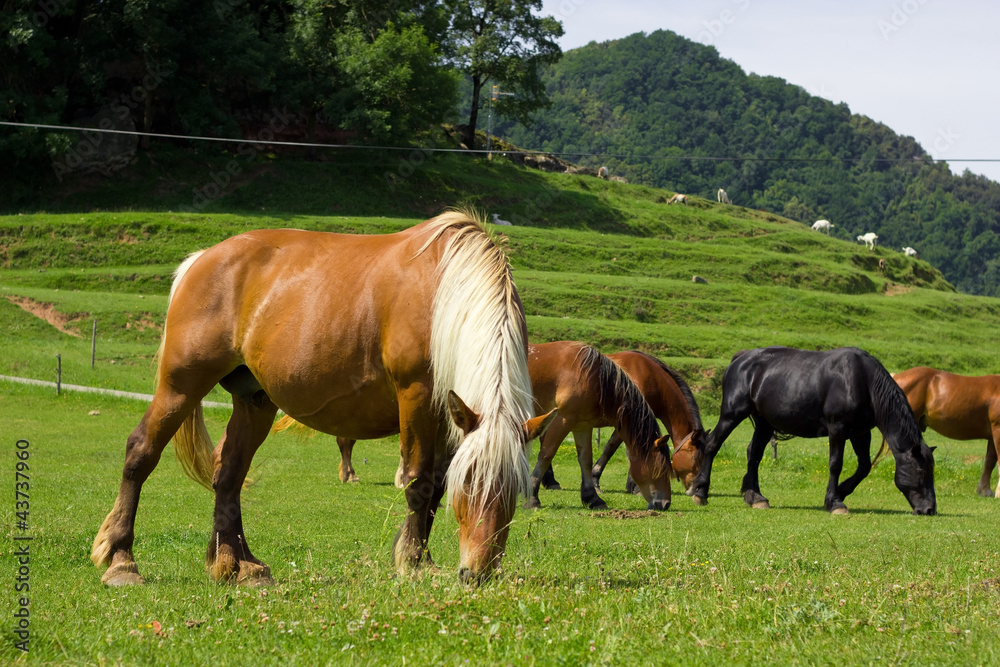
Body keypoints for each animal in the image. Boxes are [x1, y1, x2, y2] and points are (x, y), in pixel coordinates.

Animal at [92, 211, 556, 588]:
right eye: (470, 485)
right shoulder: (417, 397)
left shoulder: (448, 413)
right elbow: (420, 481)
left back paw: (238, 564)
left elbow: (436, 483)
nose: (477, 573)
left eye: (513, 489)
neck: (446, 293)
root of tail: (203, 258)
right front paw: (412, 562)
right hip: (181, 385)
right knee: (142, 451)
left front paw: (421, 559)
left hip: (255, 399)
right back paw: (122, 560)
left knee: (229, 473)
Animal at [524, 344, 672, 512]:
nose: (666, 504)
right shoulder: (562, 420)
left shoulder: (582, 425)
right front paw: (532, 497)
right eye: (660, 469)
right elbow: (546, 455)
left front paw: (592, 498)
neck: (591, 376)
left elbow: (586, 460)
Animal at [688, 348, 936, 516]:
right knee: (712, 445)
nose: (929, 509)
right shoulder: (838, 430)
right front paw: (834, 502)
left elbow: (864, 467)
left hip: (764, 423)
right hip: (732, 414)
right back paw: (700, 492)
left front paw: (842, 491)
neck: (862, 381)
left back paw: (755, 497)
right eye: (921, 472)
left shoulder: (861, 433)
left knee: (754, 455)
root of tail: (741, 358)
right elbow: (835, 464)